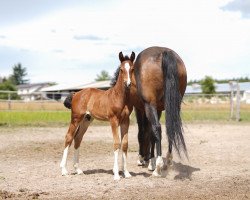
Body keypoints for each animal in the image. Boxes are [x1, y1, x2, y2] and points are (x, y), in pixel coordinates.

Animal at [60, 50, 135, 180]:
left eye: (132, 69)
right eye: (121, 69)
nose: (128, 84)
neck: (119, 97)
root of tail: (76, 94)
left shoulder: (126, 121)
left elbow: (125, 144)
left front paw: (126, 173)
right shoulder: (114, 120)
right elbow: (117, 143)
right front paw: (116, 174)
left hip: (86, 120)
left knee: (77, 138)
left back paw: (78, 169)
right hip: (76, 118)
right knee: (69, 137)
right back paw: (64, 170)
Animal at [130, 46, 187, 177]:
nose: (145, 157)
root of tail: (164, 52)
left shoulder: (140, 109)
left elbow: (142, 133)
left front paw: (143, 159)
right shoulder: (159, 109)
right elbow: (150, 134)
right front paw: (150, 160)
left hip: (149, 105)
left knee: (157, 128)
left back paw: (158, 167)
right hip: (172, 105)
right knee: (170, 128)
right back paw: (168, 160)